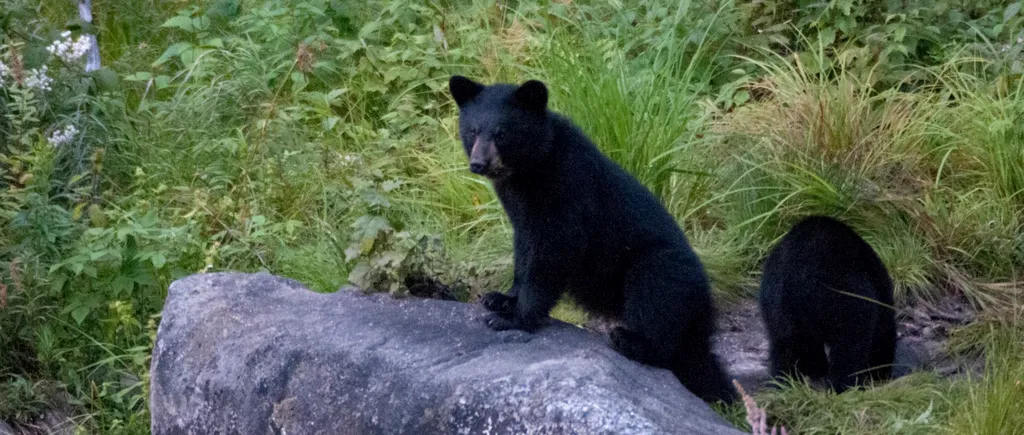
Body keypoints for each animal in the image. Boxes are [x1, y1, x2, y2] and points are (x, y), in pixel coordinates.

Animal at [448, 75, 737, 403]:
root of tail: (705, 310)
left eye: (501, 133)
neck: (529, 172)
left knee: (656, 301)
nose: (478, 164)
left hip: (666, 270)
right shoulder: (521, 213)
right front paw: (499, 298)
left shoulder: (569, 191)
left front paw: (514, 319)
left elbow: (554, 254)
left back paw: (629, 340)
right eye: (472, 131)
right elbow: (523, 251)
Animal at [761, 214, 897, 390]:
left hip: (777, 308)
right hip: (844, 297)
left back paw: (785, 382)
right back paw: (846, 385)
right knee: (850, 345)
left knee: (785, 346)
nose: (883, 375)